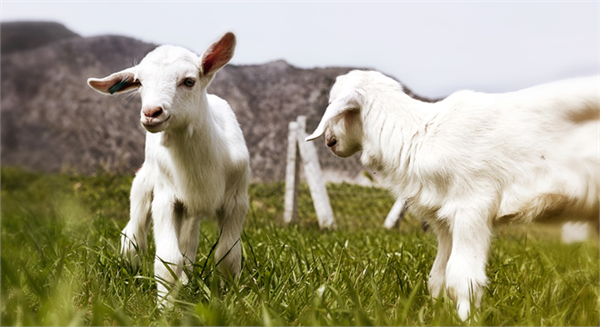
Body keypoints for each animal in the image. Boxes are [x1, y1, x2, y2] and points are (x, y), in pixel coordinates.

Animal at [87, 32, 251, 306]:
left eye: (189, 81)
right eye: (139, 82)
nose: (151, 113)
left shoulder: (237, 201)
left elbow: (227, 256)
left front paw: (229, 299)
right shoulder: (165, 199)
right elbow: (168, 260)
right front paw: (165, 306)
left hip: (191, 212)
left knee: (189, 241)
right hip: (144, 184)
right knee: (133, 233)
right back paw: (129, 272)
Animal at [308, 71, 596, 320]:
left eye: (333, 104)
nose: (329, 141)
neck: (420, 135)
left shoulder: (472, 207)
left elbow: (461, 277)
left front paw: (466, 319)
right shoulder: (445, 220)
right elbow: (438, 277)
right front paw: (436, 314)